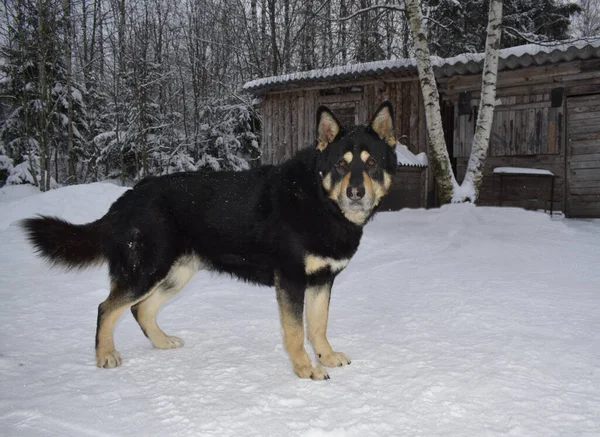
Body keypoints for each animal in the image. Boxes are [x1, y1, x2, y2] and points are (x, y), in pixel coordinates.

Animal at [19, 101, 398, 378]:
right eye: (340, 165)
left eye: (372, 163)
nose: (355, 192)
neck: (320, 203)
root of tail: (127, 197)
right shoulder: (290, 280)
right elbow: (294, 331)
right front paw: (306, 369)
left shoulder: (321, 281)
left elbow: (317, 326)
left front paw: (326, 356)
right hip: (146, 270)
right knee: (107, 307)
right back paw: (106, 355)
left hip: (175, 274)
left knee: (141, 309)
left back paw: (161, 342)